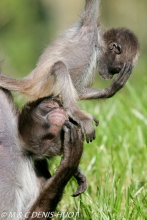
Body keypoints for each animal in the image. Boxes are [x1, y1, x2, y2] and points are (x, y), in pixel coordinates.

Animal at [0, 0, 140, 143]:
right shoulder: (89, 27)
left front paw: (110, 90)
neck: (96, 44)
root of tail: (30, 82)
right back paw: (76, 113)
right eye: (117, 69)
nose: (110, 76)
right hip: (45, 84)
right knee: (60, 66)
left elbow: (78, 90)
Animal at [0, 87, 84, 219]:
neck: (24, 152)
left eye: (61, 107)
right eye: (49, 105)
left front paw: (70, 164)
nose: (59, 108)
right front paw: (72, 162)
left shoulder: (40, 169)